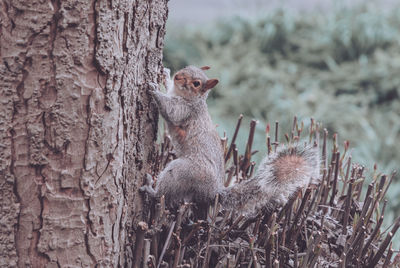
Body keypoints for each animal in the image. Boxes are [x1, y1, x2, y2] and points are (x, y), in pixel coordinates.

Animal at [142, 66, 320, 217]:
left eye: (196, 83)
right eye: (187, 67)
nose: (178, 76)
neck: (186, 96)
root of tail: (213, 191)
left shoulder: (186, 111)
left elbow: (170, 111)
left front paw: (154, 89)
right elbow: (168, 89)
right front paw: (165, 75)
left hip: (183, 172)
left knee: (162, 195)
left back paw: (151, 189)